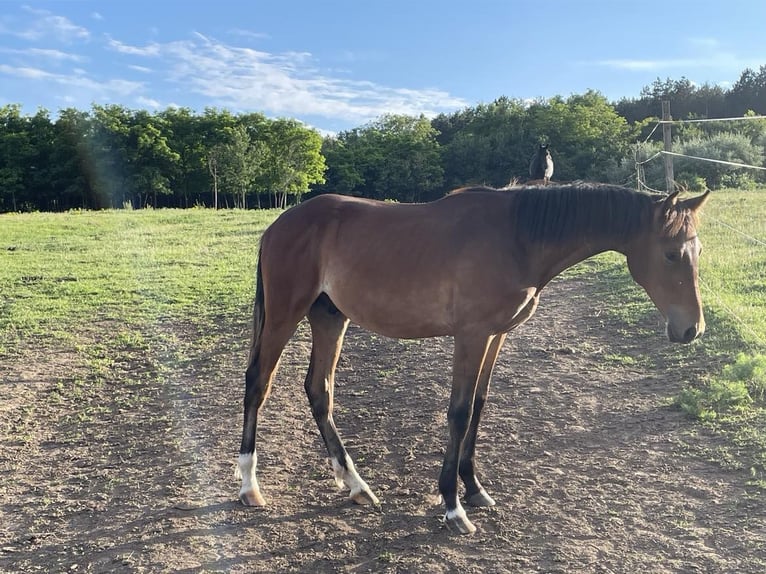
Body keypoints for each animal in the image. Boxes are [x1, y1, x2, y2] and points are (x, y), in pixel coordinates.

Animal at [240, 183, 712, 536]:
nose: (692, 329)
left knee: (319, 390)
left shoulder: (495, 336)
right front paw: (452, 507)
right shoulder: (471, 336)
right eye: (672, 253)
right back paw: (249, 485)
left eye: (698, 251)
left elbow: (480, 407)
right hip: (285, 314)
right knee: (258, 384)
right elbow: (460, 413)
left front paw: (474, 488)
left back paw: (357, 485)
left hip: (329, 316)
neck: (517, 237)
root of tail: (280, 224)